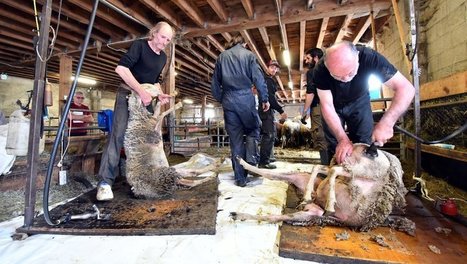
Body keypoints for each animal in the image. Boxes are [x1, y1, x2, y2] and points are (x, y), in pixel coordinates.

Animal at [233, 143, 416, 236]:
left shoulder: (359, 174)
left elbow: (332, 170)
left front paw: (331, 204)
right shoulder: (352, 171)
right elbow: (325, 168)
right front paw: (328, 201)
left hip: (311, 212)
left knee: (275, 215)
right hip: (304, 181)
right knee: (274, 174)